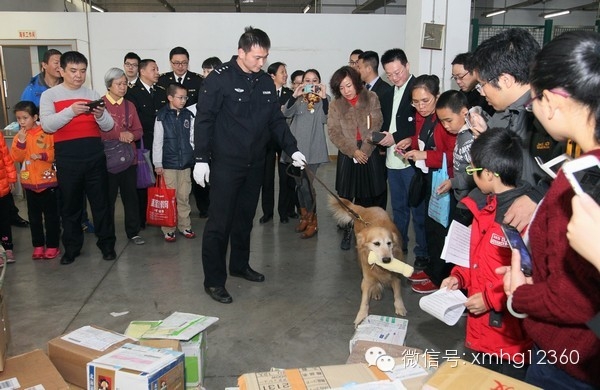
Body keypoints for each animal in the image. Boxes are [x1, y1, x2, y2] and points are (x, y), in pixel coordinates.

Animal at [330, 197, 410, 328]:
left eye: (389, 243)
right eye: (376, 243)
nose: (387, 260)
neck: (380, 268)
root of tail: (364, 209)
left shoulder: (395, 277)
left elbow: (397, 293)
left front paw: (400, 306)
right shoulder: (366, 279)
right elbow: (364, 301)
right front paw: (361, 316)